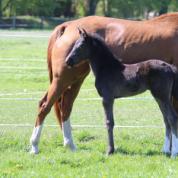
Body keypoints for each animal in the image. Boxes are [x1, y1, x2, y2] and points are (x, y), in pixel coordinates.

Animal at [29, 12, 178, 154]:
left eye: (81, 46)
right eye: (75, 45)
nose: (68, 60)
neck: (109, 67)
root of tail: (66, 26)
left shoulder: (107, 98)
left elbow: (109, 122)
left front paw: (110, 149)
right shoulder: (108, 98)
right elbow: (109, 122)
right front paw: (110, 149)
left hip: (76, 79)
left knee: (64, 106)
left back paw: (68, 145)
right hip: (64, 78)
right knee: (46, 105)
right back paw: (35, 146)